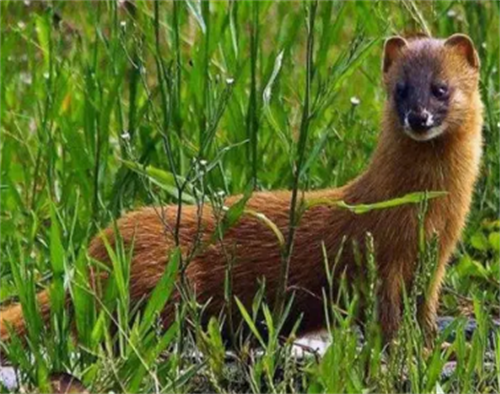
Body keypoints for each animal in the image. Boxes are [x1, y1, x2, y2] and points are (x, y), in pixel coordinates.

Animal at [0, 35, 484, 346]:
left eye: (441, 88)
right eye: (399, 89)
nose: (418, 116)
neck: (427, 213)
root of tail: (94, 251)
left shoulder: (436, 258)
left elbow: (424, 309)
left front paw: (429, 342)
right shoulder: (384, 256)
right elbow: (386, 312)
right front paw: (398, 348)